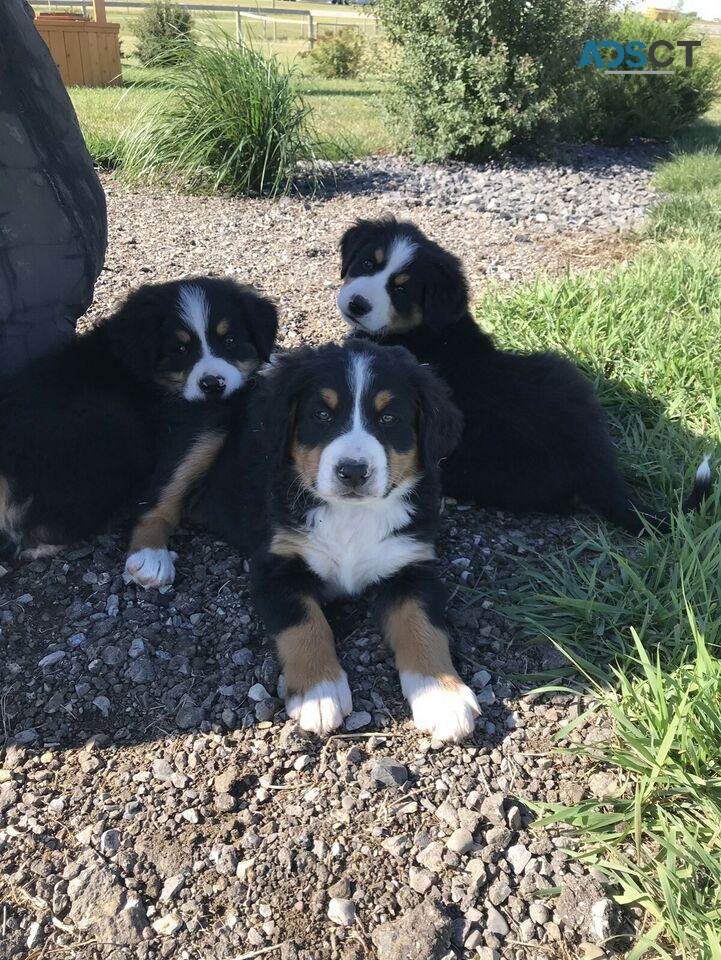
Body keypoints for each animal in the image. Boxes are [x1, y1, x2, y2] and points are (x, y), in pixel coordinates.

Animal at [202, 342, 480, 748]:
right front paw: (319, 692)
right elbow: (305, 623)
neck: (352, 516)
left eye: (389, 418)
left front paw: (442, 696)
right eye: (321, 414)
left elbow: (424, 627)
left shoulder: (411, 566)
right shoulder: (276, 566)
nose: (352, 471)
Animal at [338, 218, 708, 532]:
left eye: (401, 290)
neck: (428, 330)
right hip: (562, 371)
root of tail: (596, 468)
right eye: (368, 264)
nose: (357, 304)